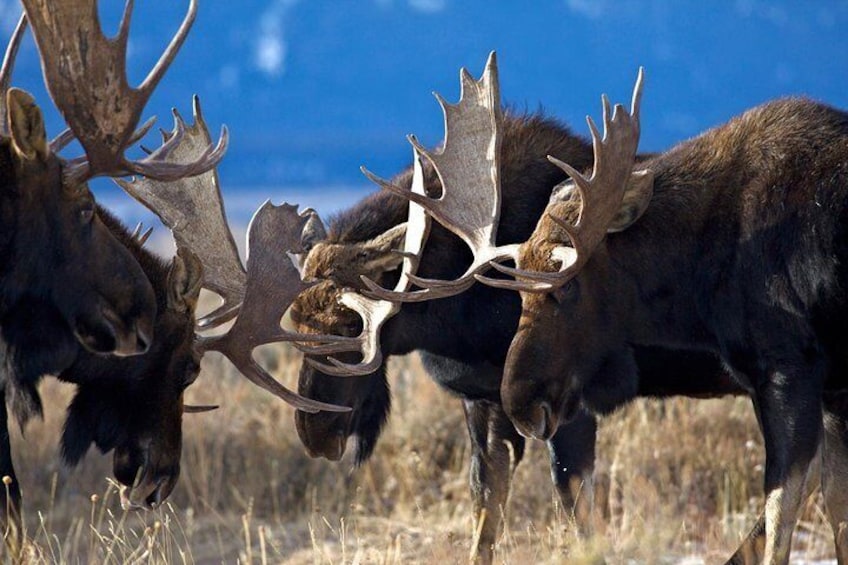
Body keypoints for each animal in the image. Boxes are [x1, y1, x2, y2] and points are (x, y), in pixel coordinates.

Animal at [288, 54, 772, 564]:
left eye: (350, 326)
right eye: (293, 324)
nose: (315, 433)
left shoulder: (562, 400)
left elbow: (575, 504)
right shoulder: (483, 400)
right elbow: (486, 505)